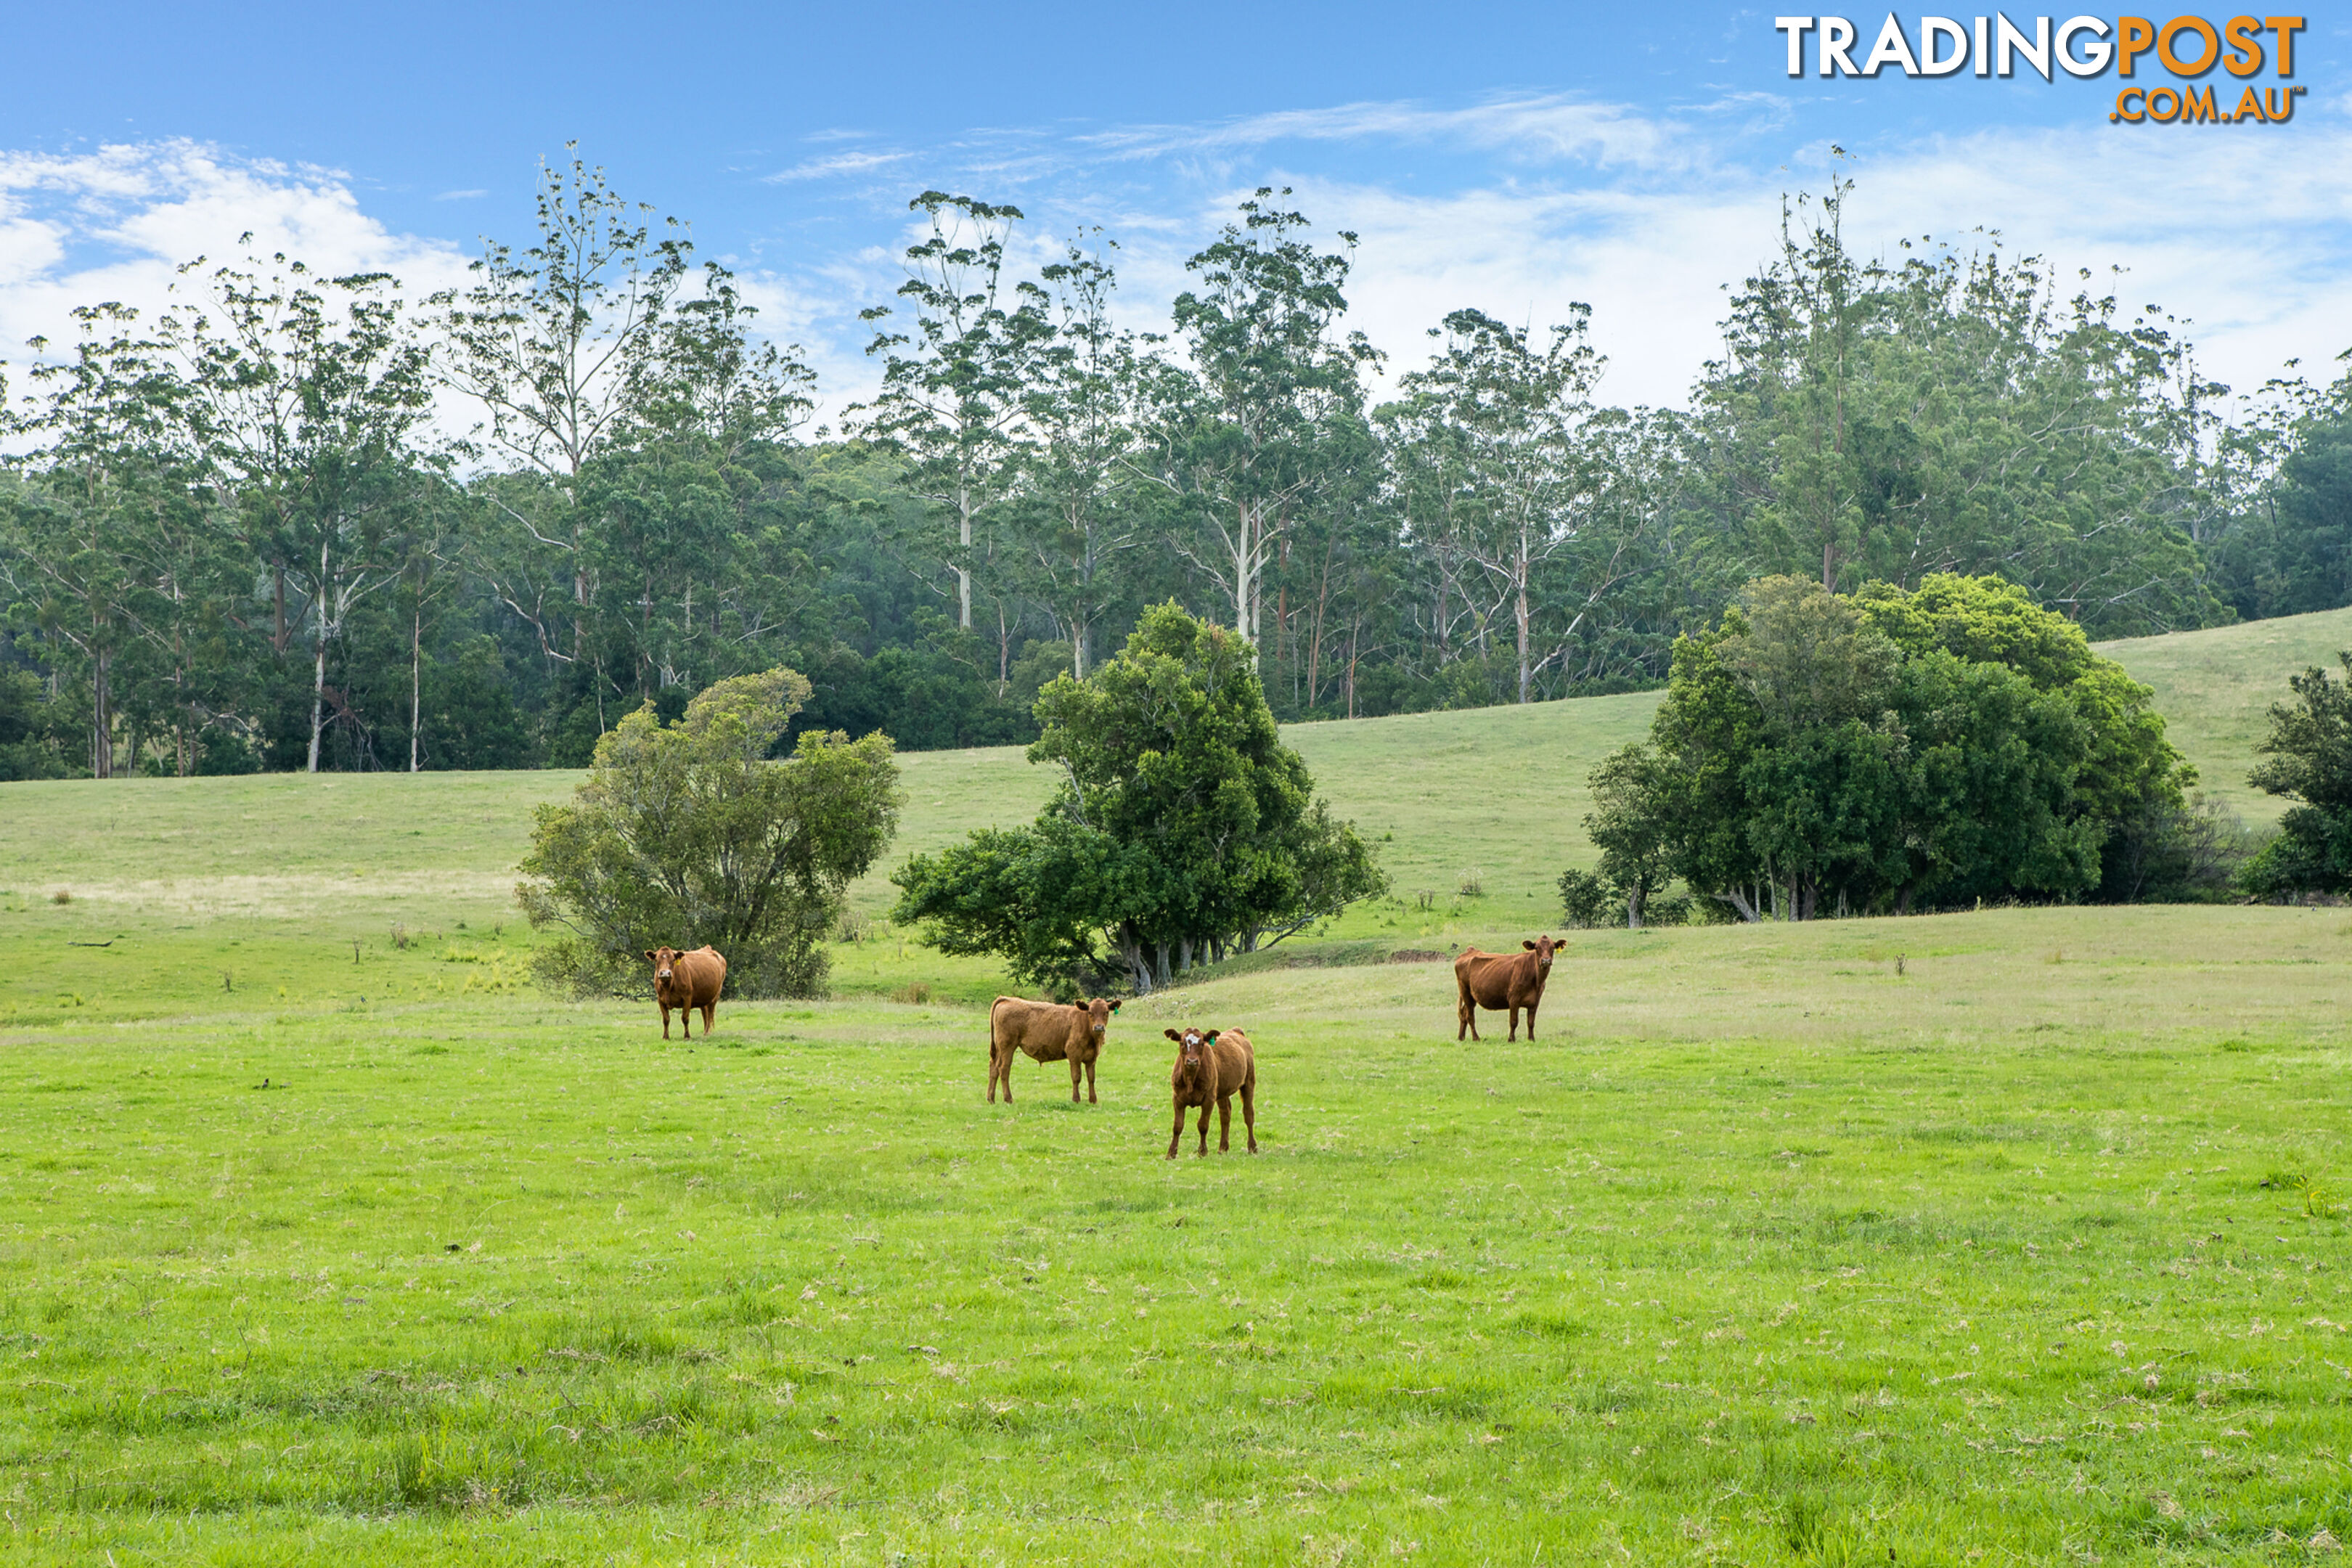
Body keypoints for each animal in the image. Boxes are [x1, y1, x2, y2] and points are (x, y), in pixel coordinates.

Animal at [644, 944, 724, 1043]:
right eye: (656, 960)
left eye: (673, 960)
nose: (665, 973)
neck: (668, 987)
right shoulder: (660, 1000)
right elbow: (666, 1019)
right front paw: (666, 1037)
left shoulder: (687, 998)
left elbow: (685, 1018)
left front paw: (687, 1036)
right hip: (704, 998)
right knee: (705, 1013)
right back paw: (705, 1032)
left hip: (715, 996)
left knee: (710, 1014)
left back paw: (707, 1032)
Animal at [978, 992, 1114, 1105]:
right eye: (1090, 1012)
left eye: (1106, 1012)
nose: (1099, 1027)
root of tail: (1008, 999)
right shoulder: (1074, 1055)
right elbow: (1076, 1077)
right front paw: (1076, 1099)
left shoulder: (1092, 1058)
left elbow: (1091, 1078)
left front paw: (1093, 1100)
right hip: (1007, 1046)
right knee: (1004, 1069)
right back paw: (1008, 1099)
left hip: (999, 1049)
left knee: (994, 1068)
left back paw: (991, 1099)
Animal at [1167, 1024, 1260, 1161]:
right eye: (1182, 1043)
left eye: (1202, 1043)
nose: (1192, 1061)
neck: (1190, 1079)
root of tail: (1236, 1031)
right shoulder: (1177, 1099)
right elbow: (1177, 1126)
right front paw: (1171, 1154)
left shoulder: (1209, 1099)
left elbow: (1203, 1125)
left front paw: (1202, 1152)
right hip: (1222, 1091)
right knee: (1225, 1114)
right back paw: (1223, 1148)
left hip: (1249, 1082)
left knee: (1248, 1114)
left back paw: (1252, 1147)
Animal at [1448, 931, 1561, 1043]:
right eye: (1537, 948)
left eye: (1552, 947)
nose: (1546, 961)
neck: (1536, 981)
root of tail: (1470, 951)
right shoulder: (1513, 999)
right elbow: (1514, 1021)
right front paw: (1511, 1040)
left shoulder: (1535, 1001)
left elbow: (1531, 1022)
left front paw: (1531, 1039)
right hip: (1466, 992)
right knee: (1470, 1016)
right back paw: (1476, 1038)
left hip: (1471, 996)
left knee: (1464, 1014)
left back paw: (1461, 1037)